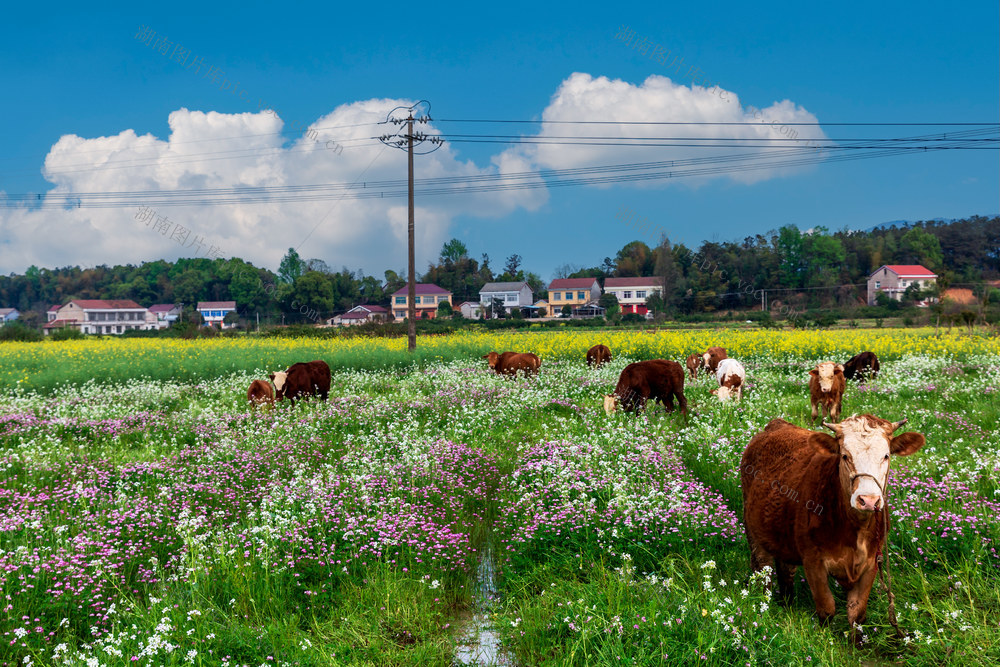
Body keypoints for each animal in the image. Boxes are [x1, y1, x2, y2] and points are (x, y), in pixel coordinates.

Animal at [740, 418, 924, 636]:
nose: (868, 500)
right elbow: (826, 609)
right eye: (845, 456)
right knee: (763, 571)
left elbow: (857, 613)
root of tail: (778, 424)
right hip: (754, 532)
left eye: (886, 455)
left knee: (786, 570)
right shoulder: (813, 561)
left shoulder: (872, 562)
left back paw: (787, 603)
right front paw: (824, 638)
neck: (854, 531)